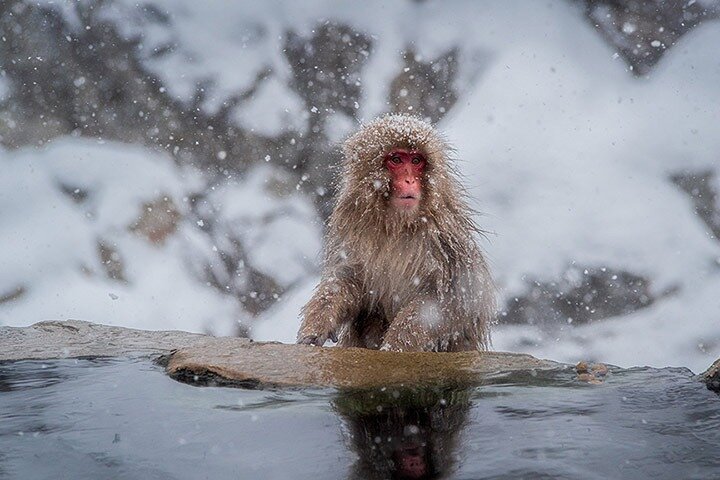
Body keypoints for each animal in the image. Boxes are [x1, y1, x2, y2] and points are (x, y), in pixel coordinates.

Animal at [297, 114, 495, 352]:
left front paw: (396, 346)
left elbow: (457, 299)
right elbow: (347, 278)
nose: (409, 180)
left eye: (416, 161)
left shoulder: (445, 236)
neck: (397, 224)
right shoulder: (353, 224)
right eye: (397, 160)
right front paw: (317, 325)